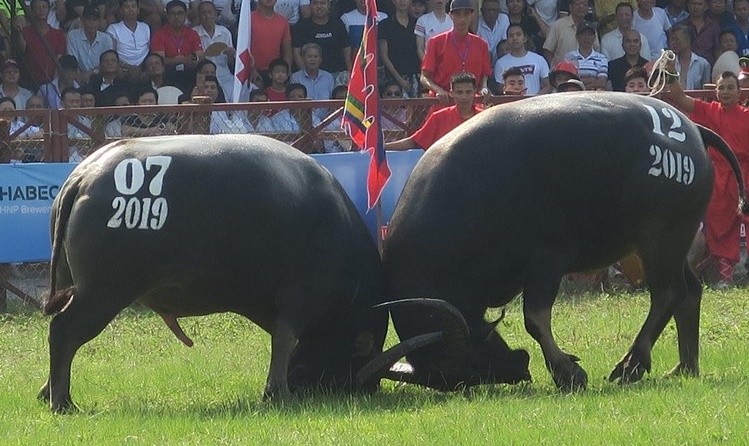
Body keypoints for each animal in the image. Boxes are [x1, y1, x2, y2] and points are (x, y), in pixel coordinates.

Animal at [382, 92, 744, 392]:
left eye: (467, 364)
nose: (516, 371)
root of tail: (693, 130)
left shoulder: (546, 260)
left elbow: (535, 317)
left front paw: (567, 373)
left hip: (662, 237)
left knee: (668, 293)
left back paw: (631, 365)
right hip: (673, 241)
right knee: (690, 291)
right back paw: (684, 366)